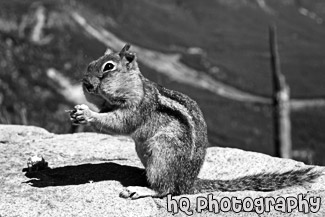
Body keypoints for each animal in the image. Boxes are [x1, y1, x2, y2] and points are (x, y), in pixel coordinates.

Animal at [69, 44, 322, 200]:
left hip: (162, 150)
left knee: (166, 190)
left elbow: (120, 123)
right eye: (91, 62)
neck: (133, 86)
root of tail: (188, 183)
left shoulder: (138, 107)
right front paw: (78, 110)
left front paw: (87, 113)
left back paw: (138, 190)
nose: (85, 83)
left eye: (108, 67)